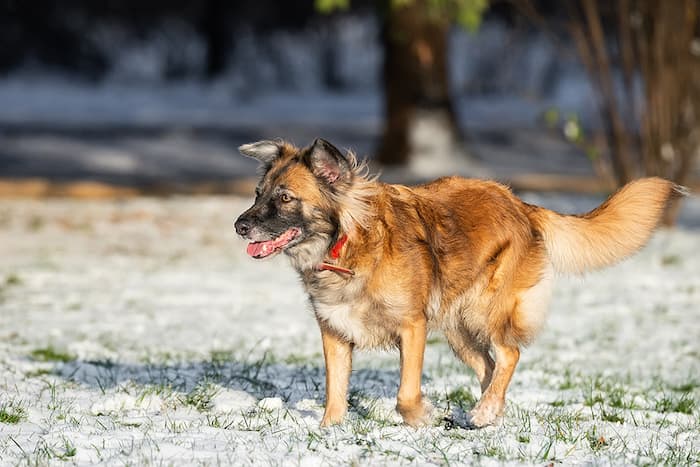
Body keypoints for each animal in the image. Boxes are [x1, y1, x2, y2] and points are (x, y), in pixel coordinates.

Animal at [235, 138, 684, 428]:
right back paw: (487, 412)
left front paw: (423, 417)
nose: (239, 226)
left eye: (285, 197)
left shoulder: (412, 327)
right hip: (459, 332)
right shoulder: (334, 332)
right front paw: (329, 430)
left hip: (483, 312)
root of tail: (521, 204)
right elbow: (334, 391)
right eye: (257, 193)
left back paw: (483, 412)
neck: (345, 246)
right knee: (490, 367)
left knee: (508, 355)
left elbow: (406, 394)